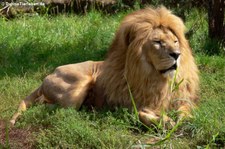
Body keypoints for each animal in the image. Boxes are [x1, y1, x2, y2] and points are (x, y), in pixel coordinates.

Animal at [11, 6, 200, 127]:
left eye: (175, 41)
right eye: (158, 42)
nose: (176, 54)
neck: (157, 79)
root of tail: (48, 76)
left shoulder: (182, 99)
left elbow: (185, 111)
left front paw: (179, 119)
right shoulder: (125, 105)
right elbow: (139, 114)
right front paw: (164, 121)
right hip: (78, 84)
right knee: (49, 106)